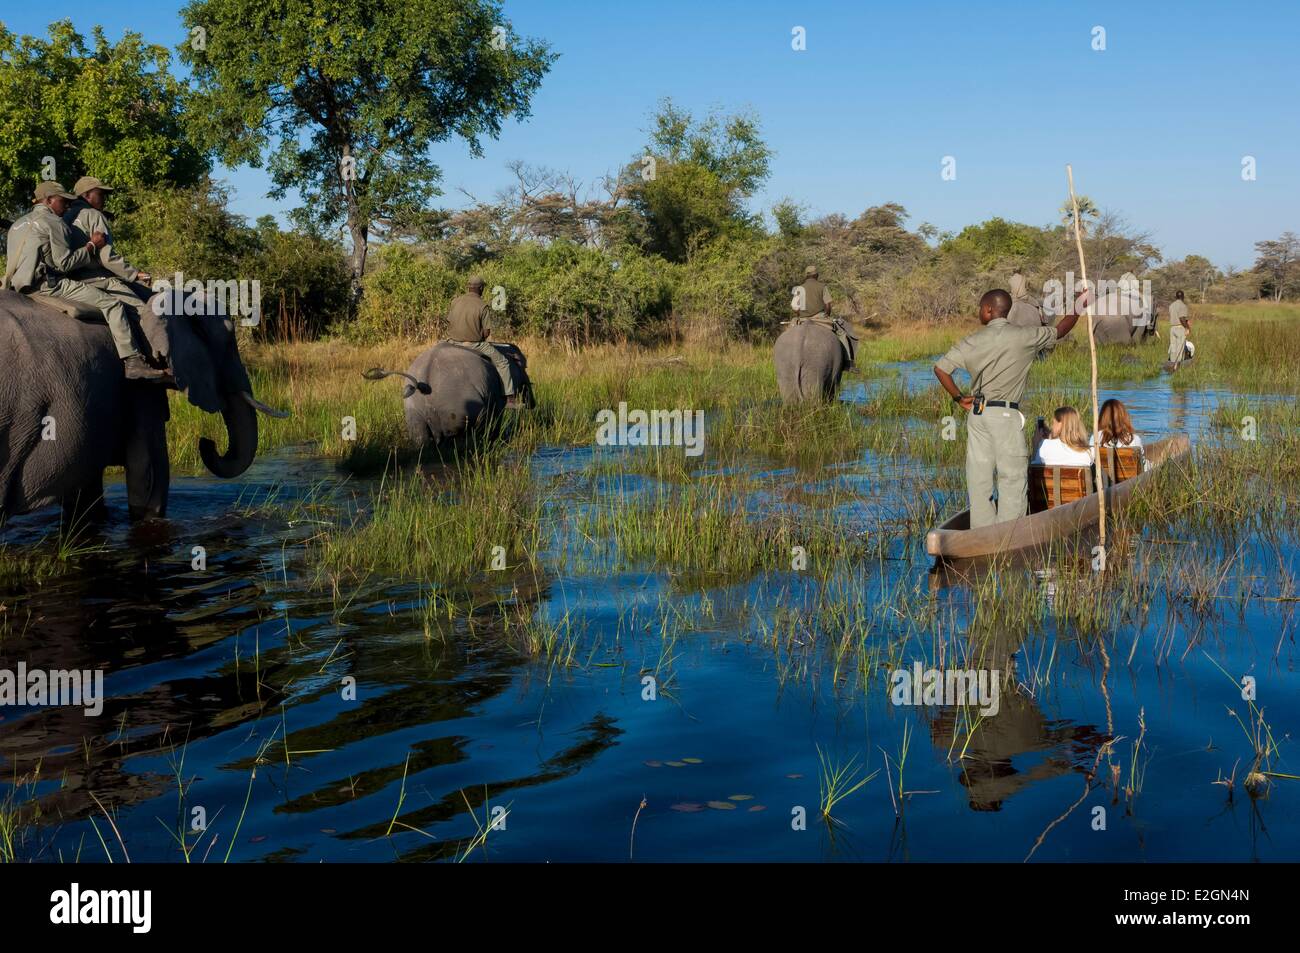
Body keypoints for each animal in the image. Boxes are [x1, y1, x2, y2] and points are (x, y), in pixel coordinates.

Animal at [366, 343, 533, 447]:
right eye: (524, 366)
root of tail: (422, 383)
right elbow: (496, 415)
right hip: (456, 409)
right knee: (457, 438)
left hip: (413, 412)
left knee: (421, 439)